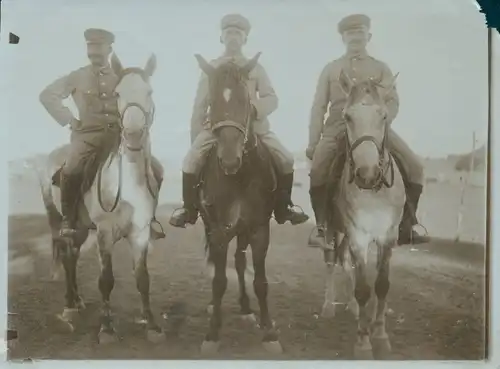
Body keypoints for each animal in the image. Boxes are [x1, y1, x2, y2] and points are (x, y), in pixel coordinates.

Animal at [33, 53, 166, 344]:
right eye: (118, 93)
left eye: (150, 91)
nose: (134, 134)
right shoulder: (104, 233)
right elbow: (106, 280)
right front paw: (106, 328)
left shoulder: (140, 233)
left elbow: (143, 278)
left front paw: (151, 325)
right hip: (59, 220)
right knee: (65, 254)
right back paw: (69, 306)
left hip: (81, 227)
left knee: (72, 257)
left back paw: (77, 301)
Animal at [193, 51, 284, 354]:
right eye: (211, 101)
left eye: (246, 100)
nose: (230, 159)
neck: (240, 176)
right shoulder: (220, 231)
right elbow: (219, 281)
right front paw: (212, 334)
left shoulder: (259, 230)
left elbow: (261, 281)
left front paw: (270, 332)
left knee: (241, 262)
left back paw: (245, 308)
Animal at [320, 68, 406, 356]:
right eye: (347, 116)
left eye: (384, 116)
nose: (367, 174)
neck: (374, 193)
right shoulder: (358, 235)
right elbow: (363, 288)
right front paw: (363, 342)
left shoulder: (387, 236)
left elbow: (381, 285)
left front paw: (380, 334)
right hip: (334, 230)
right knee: (332, 261)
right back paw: (329, 306)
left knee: (345, 262)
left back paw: (354, 308)